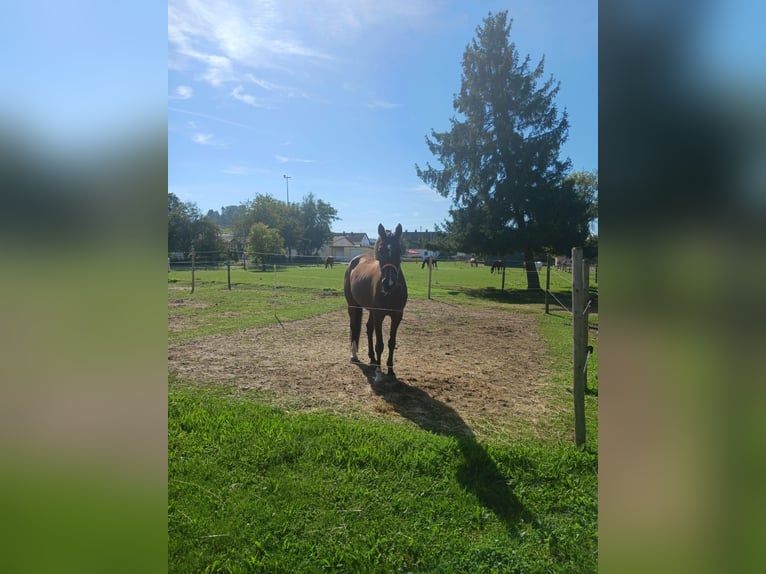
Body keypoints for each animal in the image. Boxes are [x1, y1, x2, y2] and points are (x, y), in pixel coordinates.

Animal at [346, 223, 412, 384]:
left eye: (398, 250)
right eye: (381, 250)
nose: (388, 283)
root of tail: (355, 260)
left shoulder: (397, 316)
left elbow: (391, 342)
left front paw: (390, 370)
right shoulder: (380, 315)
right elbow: (380, 344)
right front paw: (379, 374)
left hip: (371, 311)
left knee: (368, 329)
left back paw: (372, 359)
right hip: (353, 306)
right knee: (354, 327)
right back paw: (354, 356)